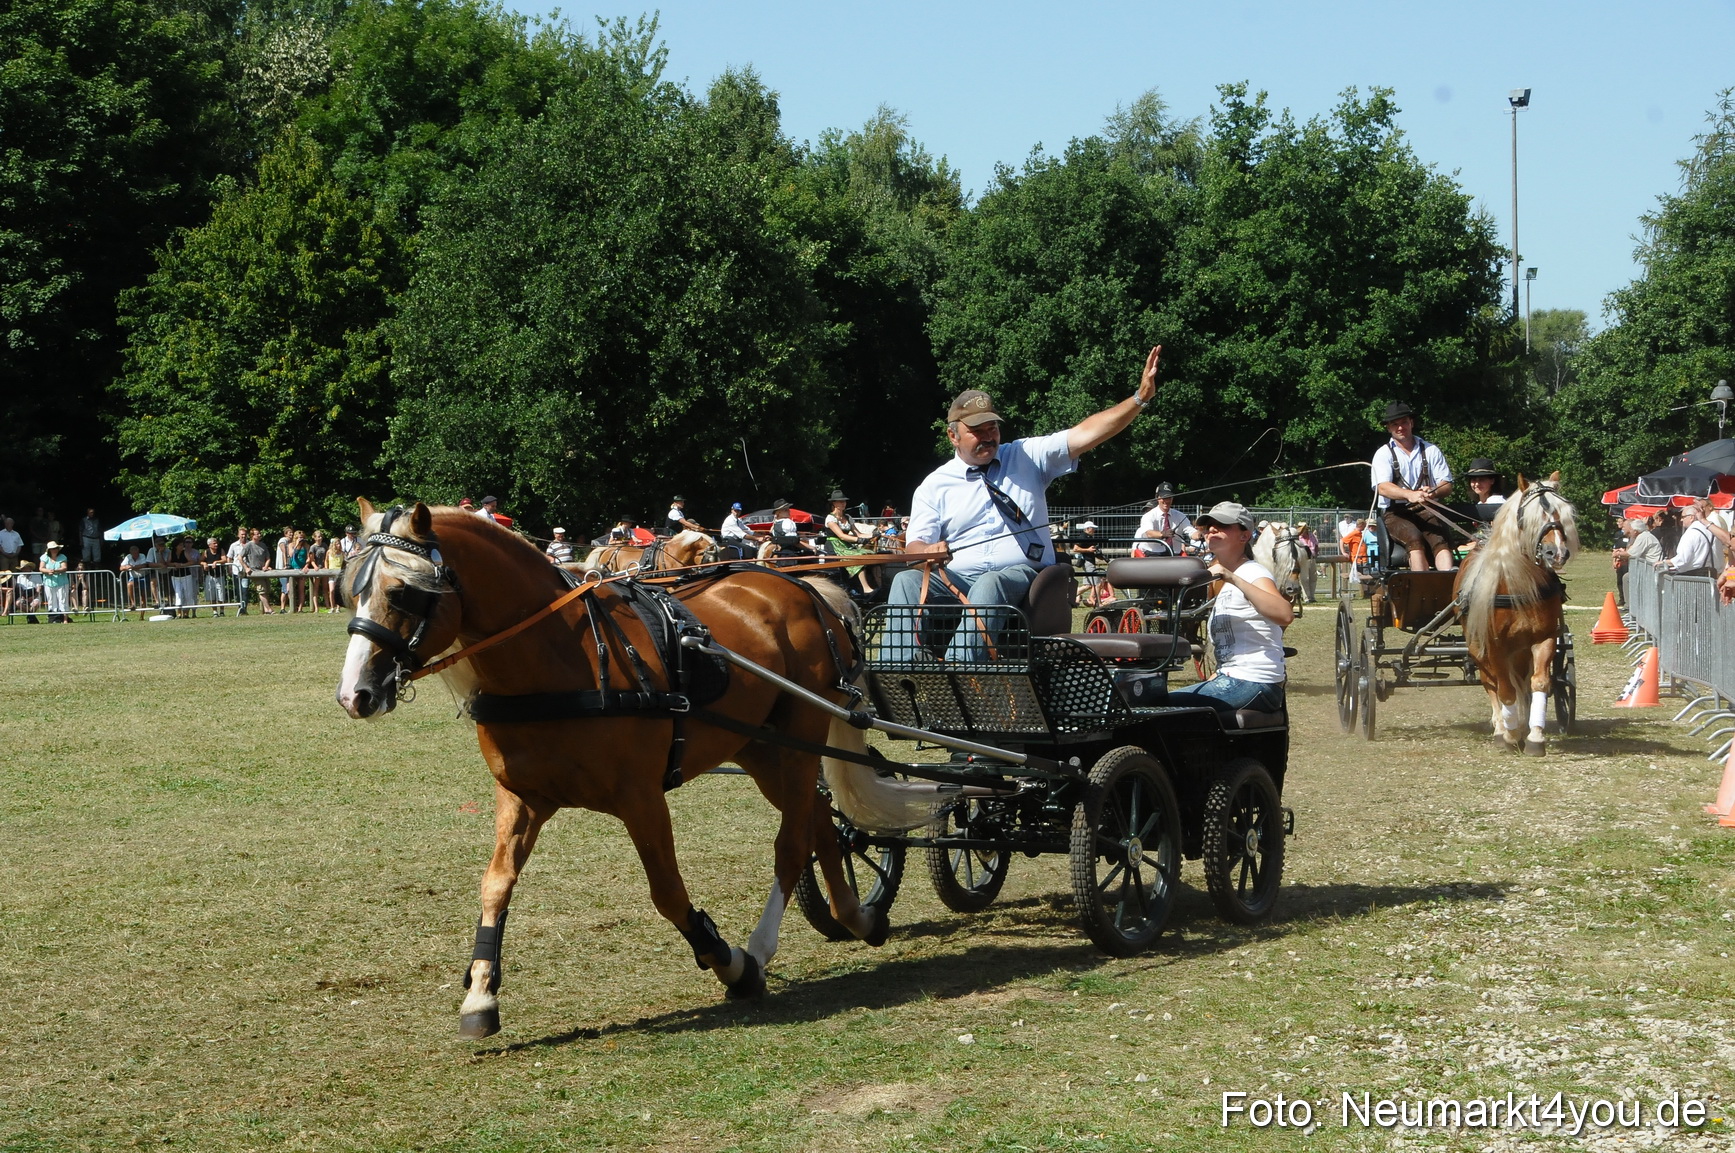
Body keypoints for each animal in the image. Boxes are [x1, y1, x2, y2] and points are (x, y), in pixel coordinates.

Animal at [334, 501, 930, 1037]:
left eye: (403, 592)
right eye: (347, 590)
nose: (354, 694)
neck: (557, 661)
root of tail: (805, 590)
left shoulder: (640, 797)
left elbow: (667, 892)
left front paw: (730, 962)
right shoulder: (520, 796)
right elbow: (495, 885)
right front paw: (481, 995)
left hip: (799, 738)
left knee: (792, 842)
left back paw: (762, 948)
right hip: (762, 748)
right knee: (821, 825)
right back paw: (857, 916)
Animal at [1454, 473, 1578, 756]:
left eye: (1562, 512)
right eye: (1529, 517)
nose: (1557, 553)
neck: (1518, 586)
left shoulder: (1543, 639)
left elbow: (1538, 684)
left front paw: (1534, 736)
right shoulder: (1495, 646)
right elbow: (1505, 690)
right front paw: (1508, 736)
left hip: (1519, 651)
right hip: (1478, 647)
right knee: (1491, 683)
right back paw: (1502, 728)